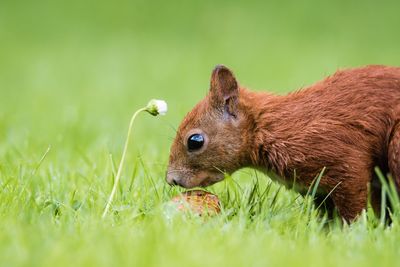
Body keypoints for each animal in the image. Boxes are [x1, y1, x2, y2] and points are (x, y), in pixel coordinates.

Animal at [166, 65, 400, 222]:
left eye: (195, 141)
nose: (171, 180)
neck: (271, 128)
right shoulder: (318, 188)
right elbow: (326, 216)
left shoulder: (343, 158)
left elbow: (352, 206)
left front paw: (350, 232)